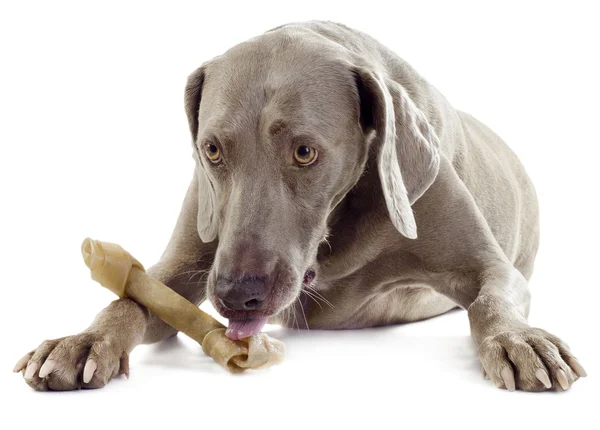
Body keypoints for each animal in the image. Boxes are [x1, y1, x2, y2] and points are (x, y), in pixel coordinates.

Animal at [14, 20, 584, 392]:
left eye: (305, 152)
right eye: (212, 150)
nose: (236, 295)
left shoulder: (489, 265)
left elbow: (491, 297)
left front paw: (520, 340)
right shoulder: (185, 262)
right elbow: (135, 298)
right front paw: (84, 341)